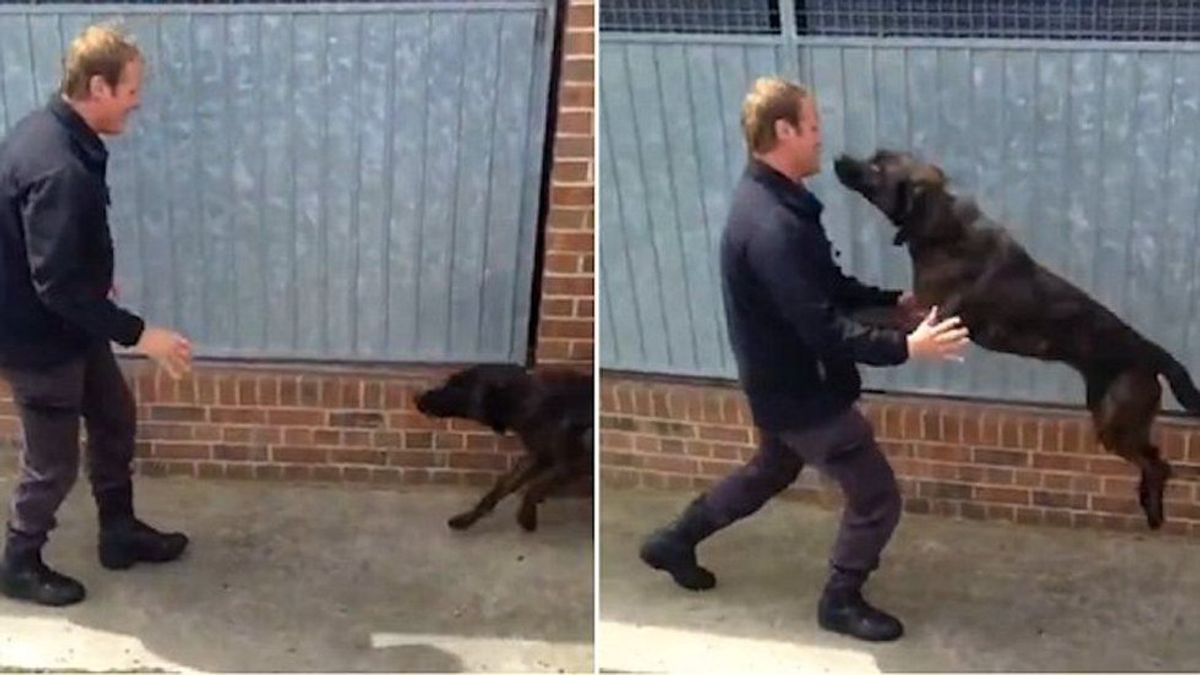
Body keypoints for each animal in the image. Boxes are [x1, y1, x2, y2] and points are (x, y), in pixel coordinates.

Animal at [415, 362, 592, 530]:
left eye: (456, 385)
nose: (419, 399)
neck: (528, 402)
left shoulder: (572, 465)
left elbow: (533, 488)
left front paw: (527, 518)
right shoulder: (537, 456)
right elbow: (500, 488)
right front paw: (466, 519)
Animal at [840, 149, 1200, 528]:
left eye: (878, 167)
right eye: (874, 157)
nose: (839, 158)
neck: (943, 228)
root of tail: (1152, 352)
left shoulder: (925, 317)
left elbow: (874, 313)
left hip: (1118, 423)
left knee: (1159, 465)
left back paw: (1154, 511)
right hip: (1113, 417)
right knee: (1155, 459)